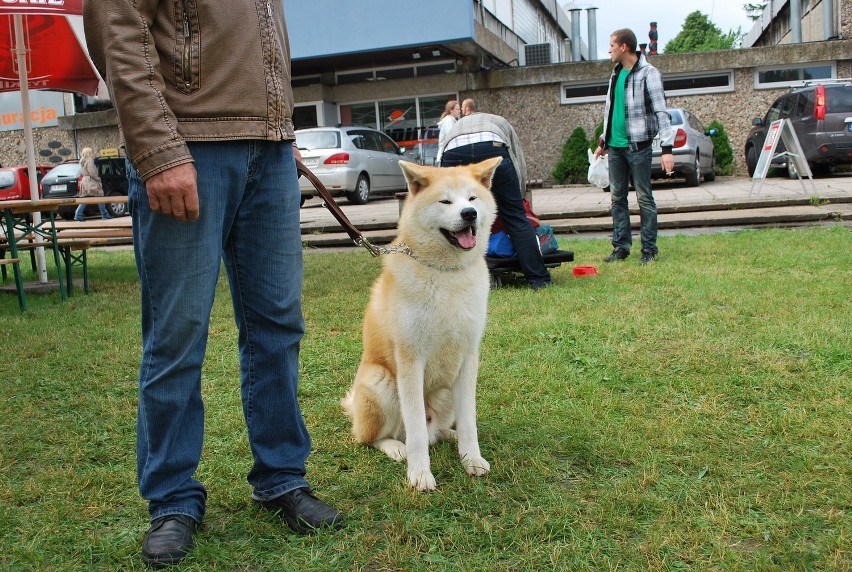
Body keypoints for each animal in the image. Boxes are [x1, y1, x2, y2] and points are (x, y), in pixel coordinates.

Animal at [340, 156, 500, 492]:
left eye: (472, 199)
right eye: (445, 201)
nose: (469, 214)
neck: (446, 273)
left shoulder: (468, 357)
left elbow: (469, 420)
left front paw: (471, 458)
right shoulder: (411, 359)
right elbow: (415, 430)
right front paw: (419, 473)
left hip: (446, 393)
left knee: (435, 432)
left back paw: (449, 435)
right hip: (381, 383)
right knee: (374, 437)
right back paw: (395, 447)